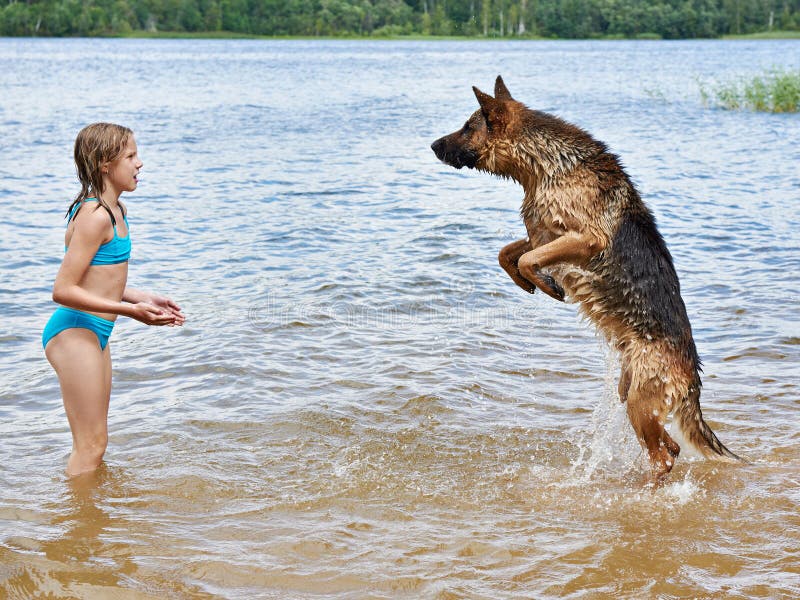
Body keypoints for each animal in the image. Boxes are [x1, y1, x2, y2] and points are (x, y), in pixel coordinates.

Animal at [432, 76, 736, 478]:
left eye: (468, 127)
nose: (432, 146)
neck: (545, 165)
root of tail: (693, 377)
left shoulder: (584, 239)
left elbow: (527, 258)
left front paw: (548, 285)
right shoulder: (543, 231)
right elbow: (508, 253)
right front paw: (528, 282)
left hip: (640, 403)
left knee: (665, 455)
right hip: (631, 396)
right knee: (668, 448)